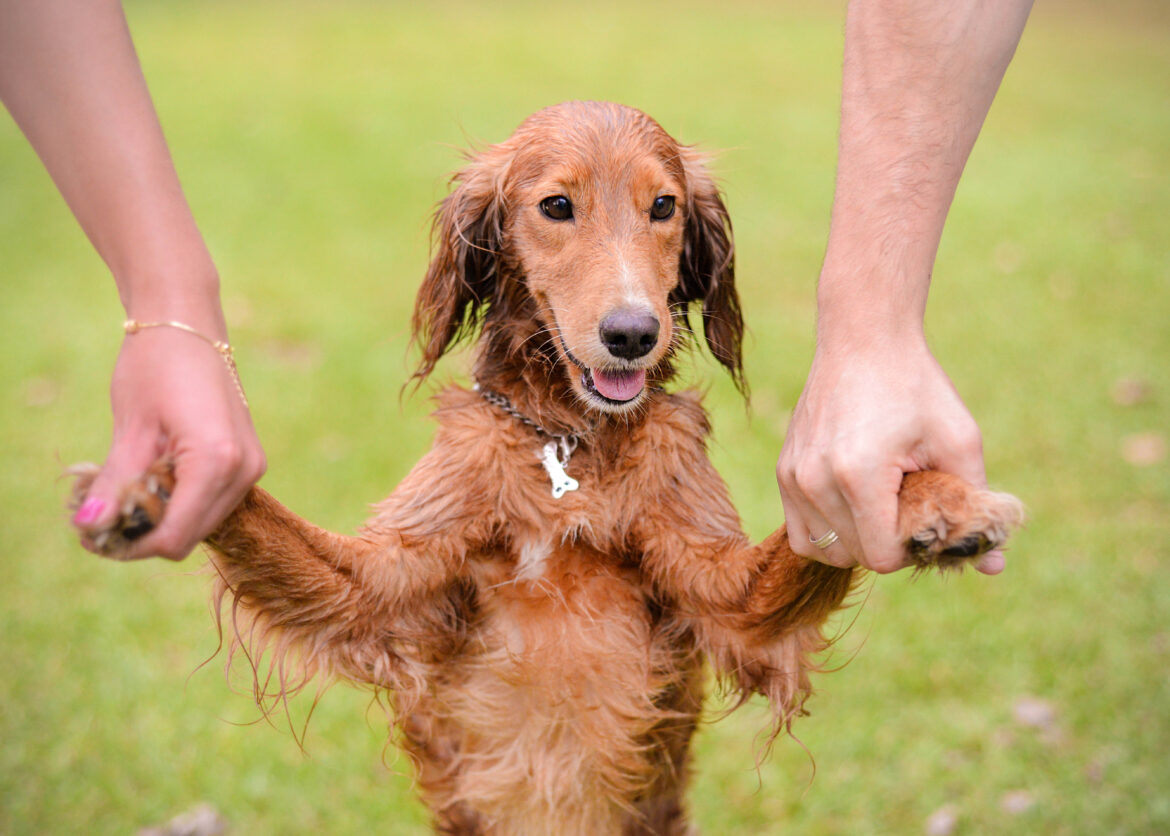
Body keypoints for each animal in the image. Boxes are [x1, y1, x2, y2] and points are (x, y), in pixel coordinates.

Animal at [73, 101, 1024, 832]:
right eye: (556, 205)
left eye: (663, 205)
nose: (632, 333)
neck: (570, 443)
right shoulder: (381, 582)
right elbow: (263, 518)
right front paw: (156, 484)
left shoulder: (724, 594)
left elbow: (802, 546)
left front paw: (934, 499)